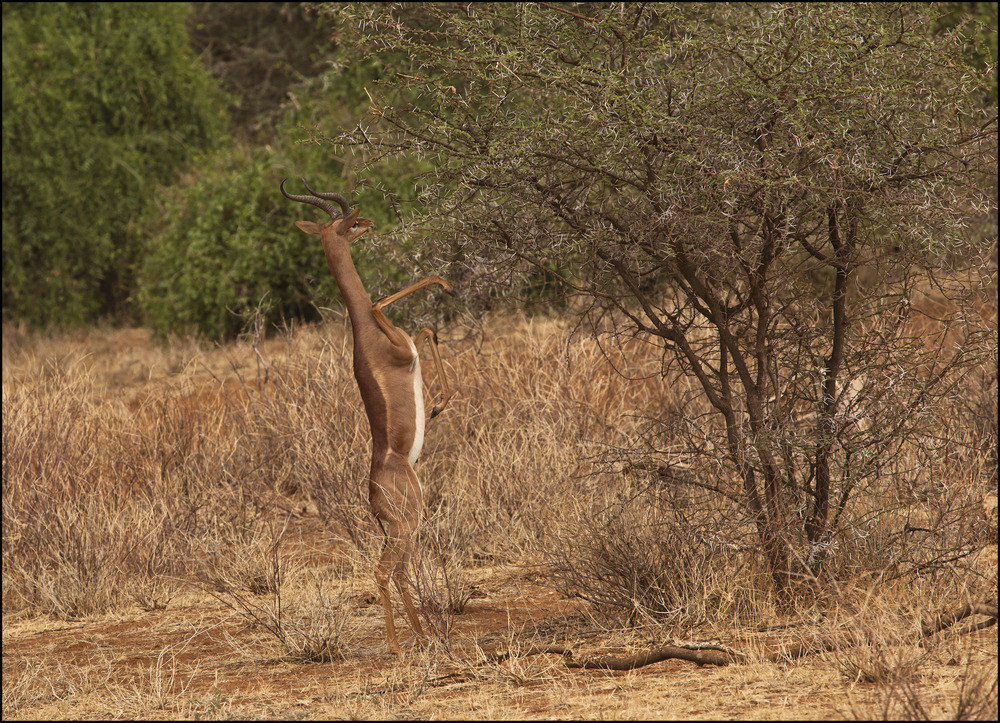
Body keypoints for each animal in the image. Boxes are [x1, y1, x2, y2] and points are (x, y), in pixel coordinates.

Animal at [280, 180, 456, 656]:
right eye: (352, 222)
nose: (372, 223)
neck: (365, 333)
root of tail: (374, 496)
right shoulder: (400, 348)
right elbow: (381, 302)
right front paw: (446, 281)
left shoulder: (411, 348)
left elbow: (428, 331)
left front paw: (439, 405)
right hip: (408, 522)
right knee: (384, 570)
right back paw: (398, 645)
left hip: (402, 527)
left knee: (398, 570)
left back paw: (421, 635)